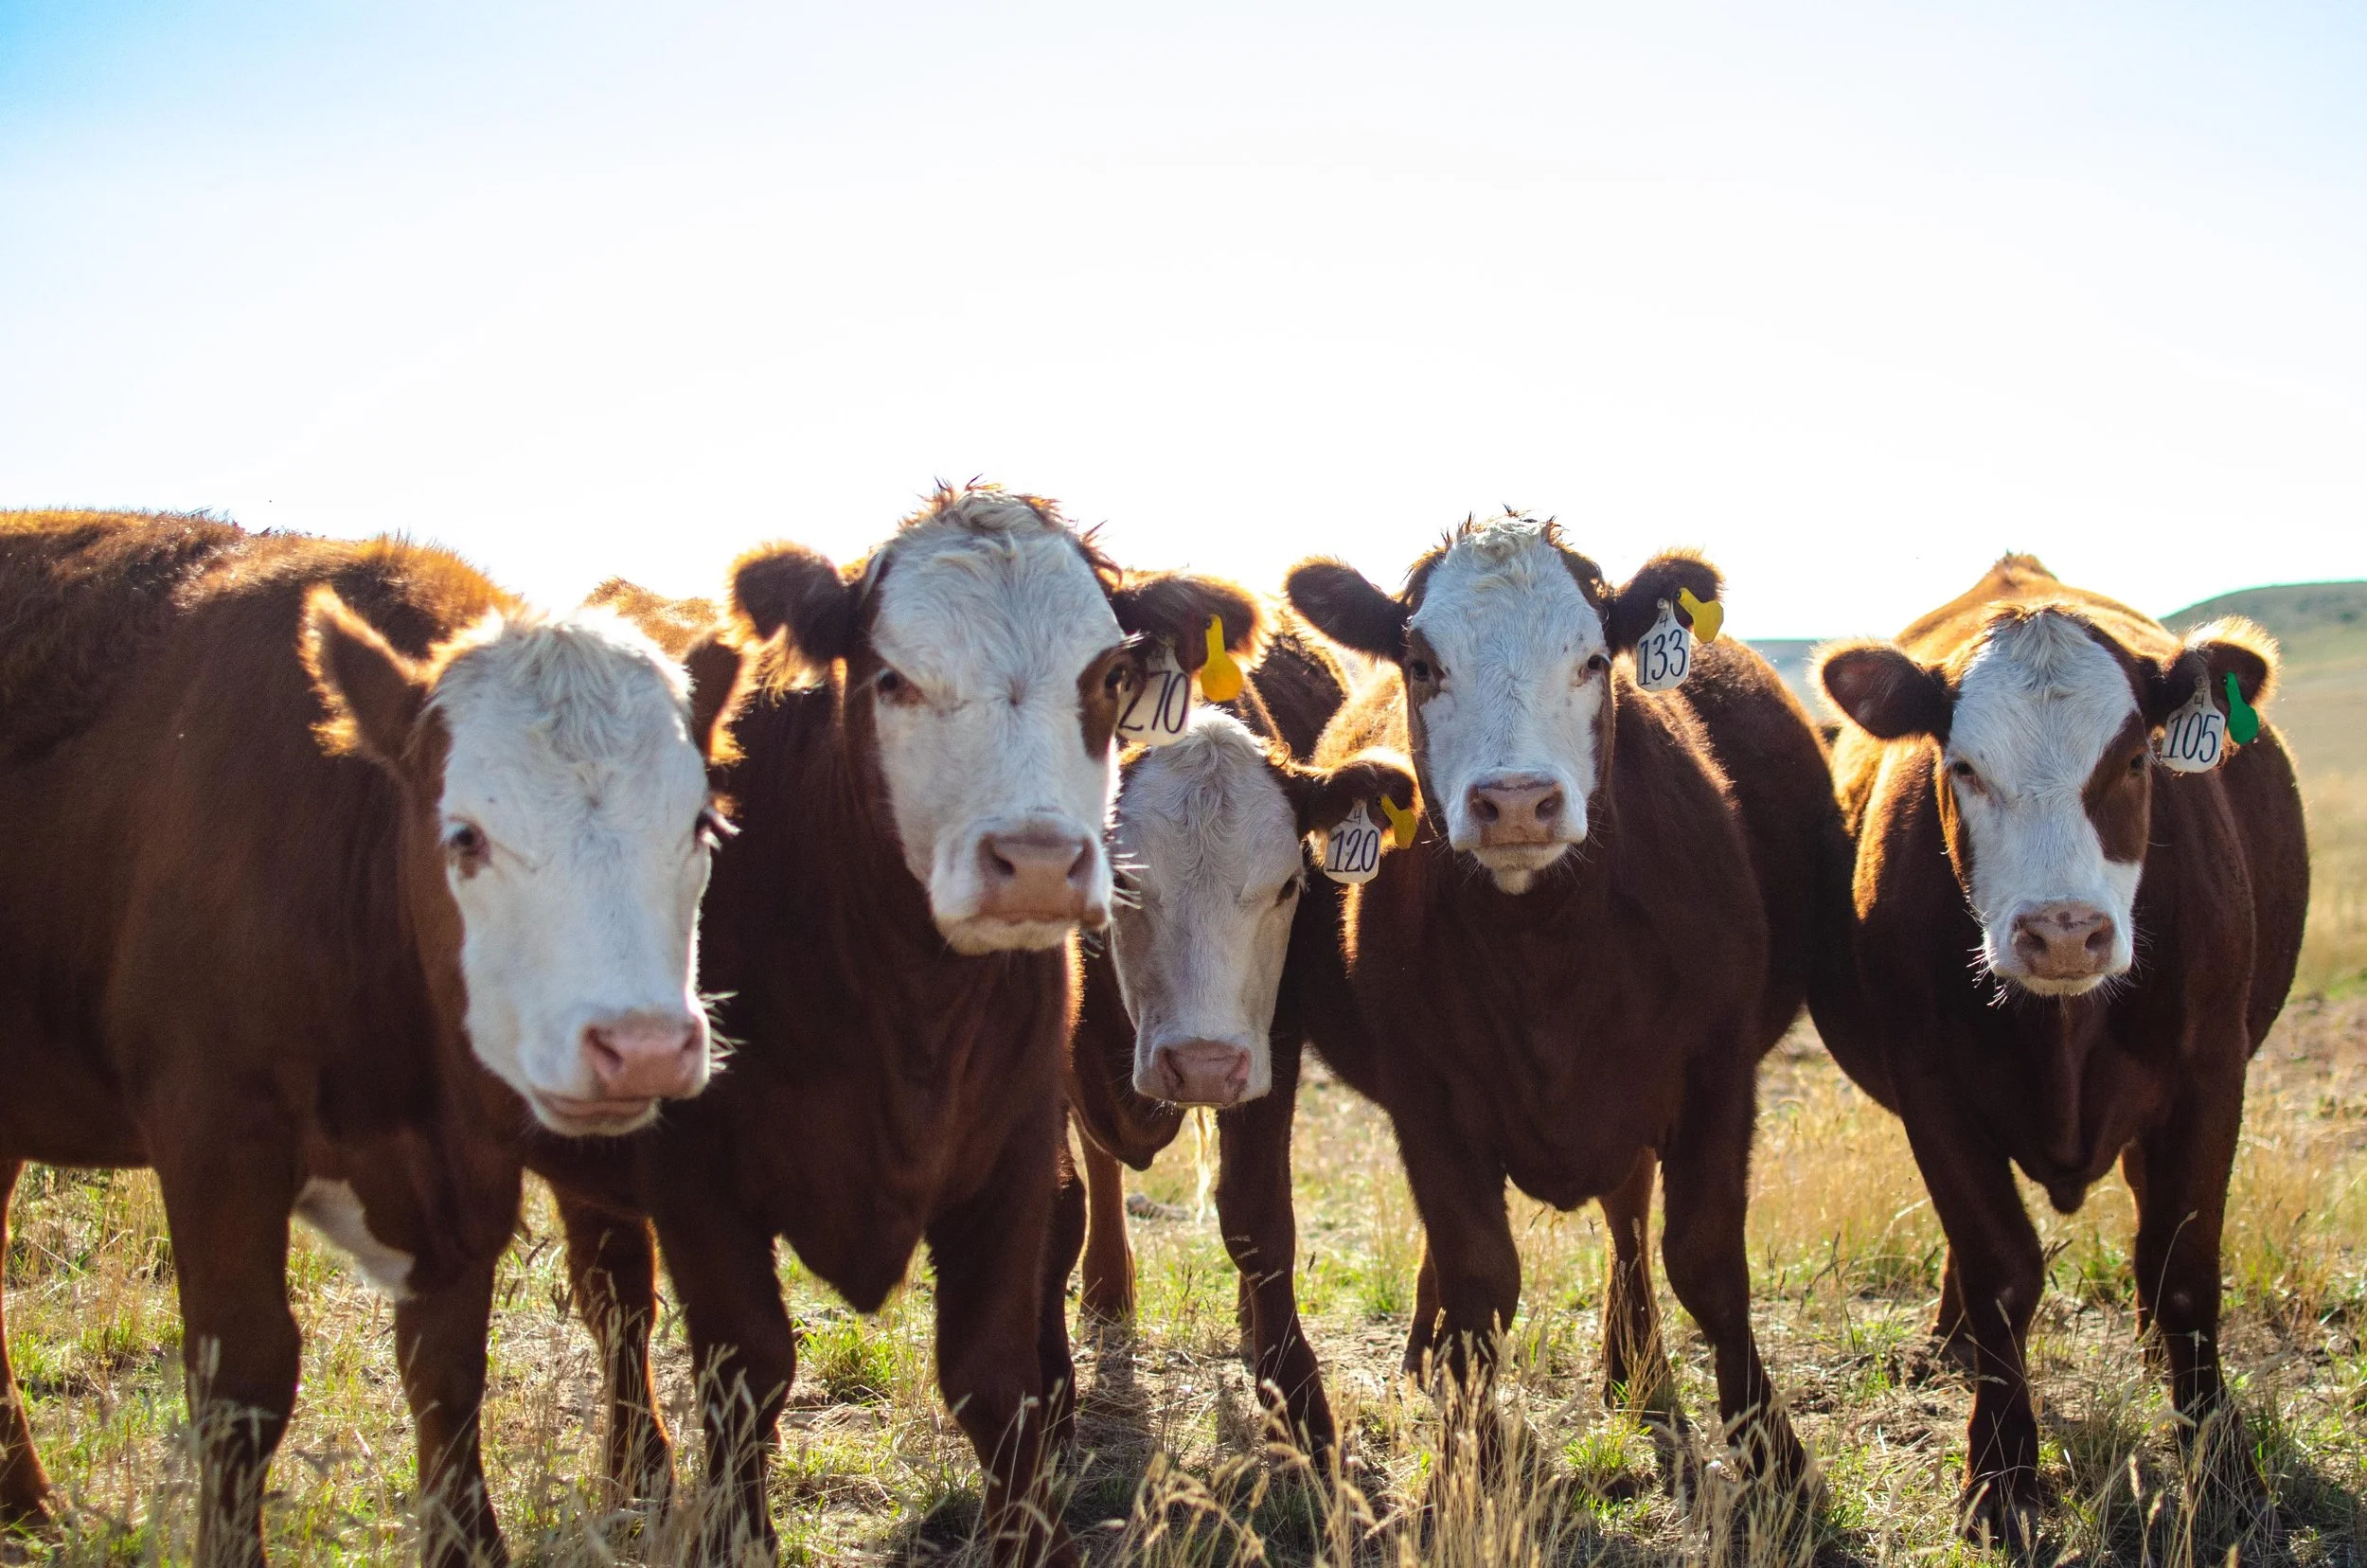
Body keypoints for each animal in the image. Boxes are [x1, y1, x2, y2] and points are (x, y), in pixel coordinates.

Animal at [0, 512, 732, 1567]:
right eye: (464, 837)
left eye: (702, 824)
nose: (639, 1046)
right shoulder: (214, 1130)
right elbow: (244, 1377)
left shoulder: (461, 1161)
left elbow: (447, 1372)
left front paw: (469, 1548)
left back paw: (26, 1503)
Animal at [542, 486, 1260, 1567]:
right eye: (891, 677)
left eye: (1108, 677)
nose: (1038, 863)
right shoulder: (697, 1179)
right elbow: (746, 1369)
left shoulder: (1012, 1153)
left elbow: (995, 1372)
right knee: (617, 1302)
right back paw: (638, 1473)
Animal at [1047, 617, 1415, 1459]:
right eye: (1124, 882)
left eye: (1288, 885)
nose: (1203, 1066)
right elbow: (1058, 1198)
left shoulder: (1270, 1041)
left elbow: (1256, 1214)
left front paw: (1299, 1399)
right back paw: (1108, 1291)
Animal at [1281, 515, 1842, 1488]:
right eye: (1422, 663)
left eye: (1591, 659)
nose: (1515, 803)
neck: (1542, 941)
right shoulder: (1424, 1097)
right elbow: (1477, 1276)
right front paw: (1468, 1457)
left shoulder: (1717, 1069)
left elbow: (1706, 1263)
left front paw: (1774, 1450)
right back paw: (1430, 1353)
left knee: (1627, 1217)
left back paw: (1637, 1367)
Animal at [1812, 555, 2307, 1545]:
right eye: (1962, 766)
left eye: (2134, 760)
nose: (2065, 934)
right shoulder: (1931, 1092)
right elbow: (2001, 1269)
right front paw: (2000, 1475)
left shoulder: (2212, 1076)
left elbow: (2185, 1270)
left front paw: (2224, 1467)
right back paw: (1949, 1345)